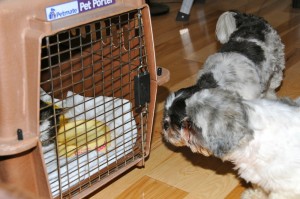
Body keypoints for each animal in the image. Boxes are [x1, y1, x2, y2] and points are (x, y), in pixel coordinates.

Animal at [163, 10, 284, 143]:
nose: (166, 126)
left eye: (178, 122)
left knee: (272, 86)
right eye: (166, 116)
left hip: (276, 65)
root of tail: (251, 19)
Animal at [168, 88, 300, 198]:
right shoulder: (260, 177)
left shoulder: (286, 189)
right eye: (186, 115)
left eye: (193, 125)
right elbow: (260, 188)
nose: (183, 124)